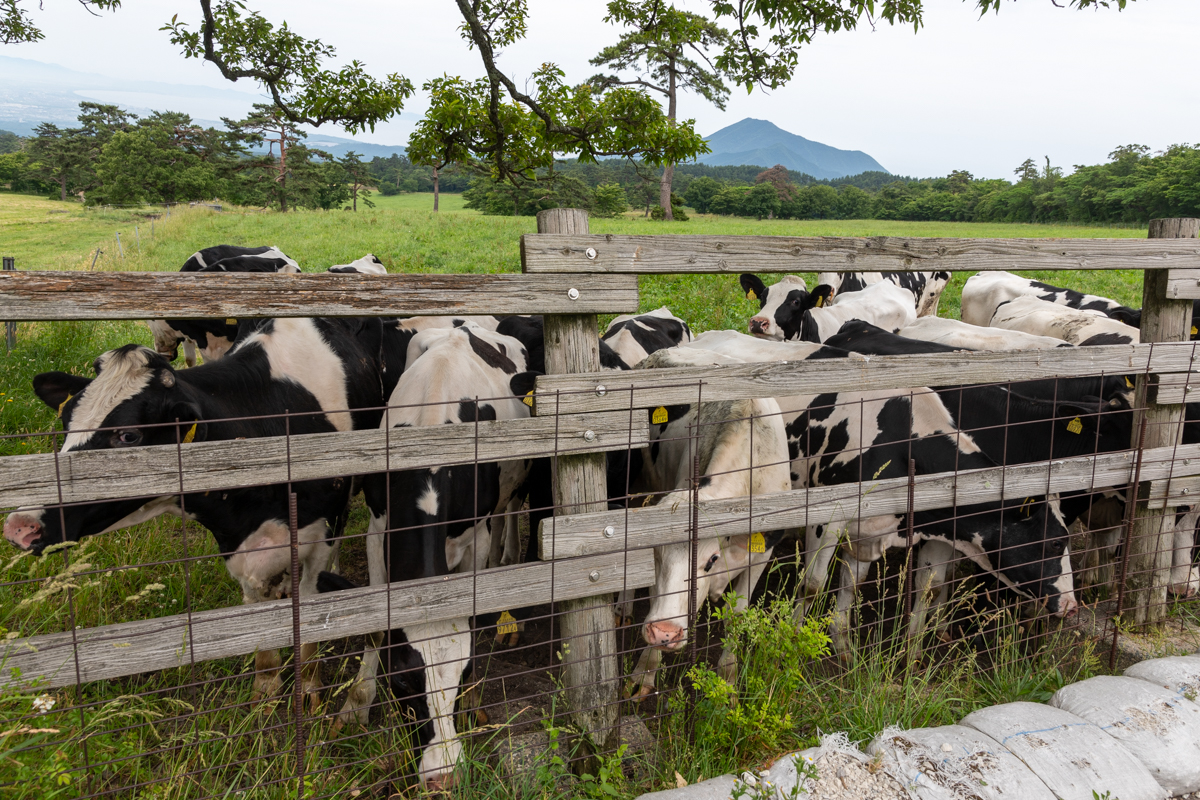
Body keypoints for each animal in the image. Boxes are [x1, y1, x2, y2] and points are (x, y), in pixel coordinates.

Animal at [2, 316, 391, 710]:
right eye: (67, 421)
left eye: (128, 436)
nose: (21, 525)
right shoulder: (237, 545)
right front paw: (264, 694)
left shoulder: (321, 533)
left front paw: (310, 690)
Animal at [326, 321, 537, 791]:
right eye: (403, 683)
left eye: (464, 676)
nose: (442, 776)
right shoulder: (377, 529)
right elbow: (374, 627)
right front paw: (358, 701)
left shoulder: (476, 535)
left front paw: (475, 705)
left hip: (512, 486)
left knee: (509, 510)